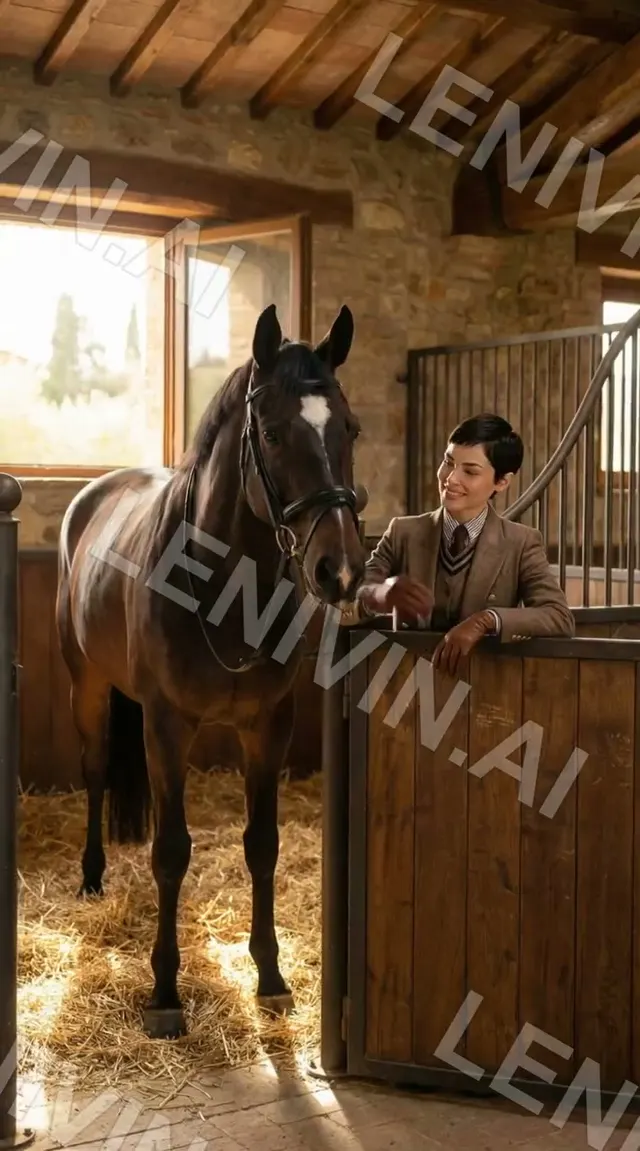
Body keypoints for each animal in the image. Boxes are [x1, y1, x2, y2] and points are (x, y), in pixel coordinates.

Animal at [56, 302, 367, 1039]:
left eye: (348, 428)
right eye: (274, 432)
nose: (340, 570)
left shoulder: (268, 728)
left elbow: (262, 844)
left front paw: (271, 975)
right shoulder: (167, 725)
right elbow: (171, 850)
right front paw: (165, 991)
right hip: (88, 687)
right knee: (93, 771)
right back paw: (92, 876)